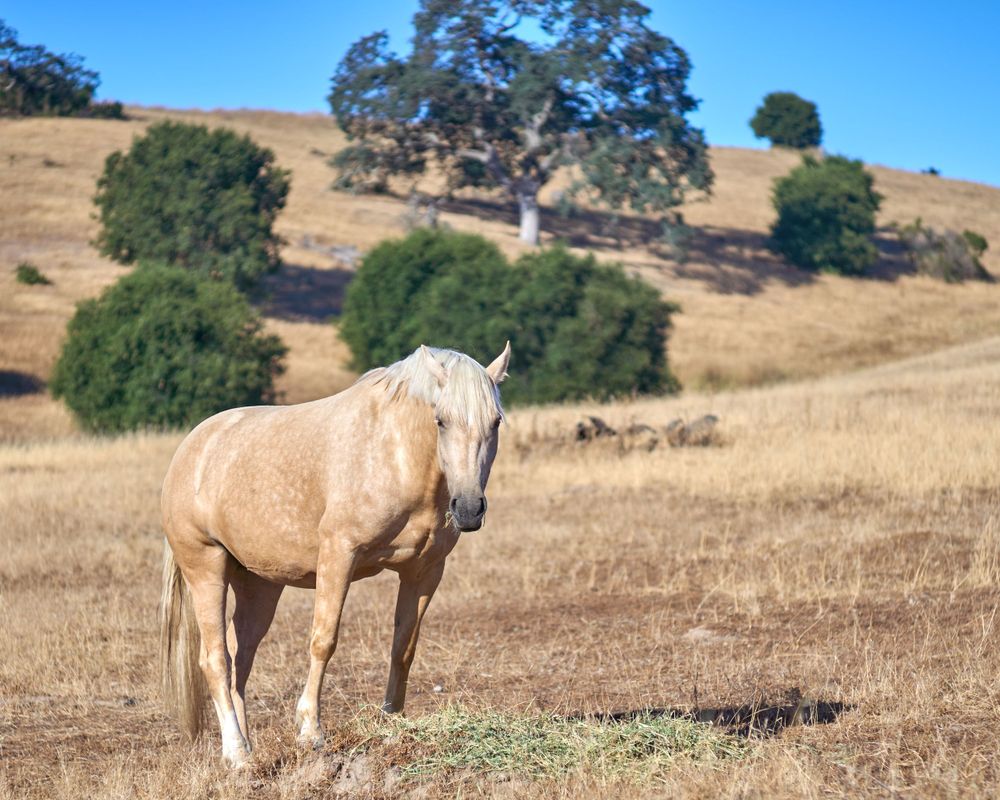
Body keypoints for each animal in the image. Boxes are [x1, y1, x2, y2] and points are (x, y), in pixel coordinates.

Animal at [159, 343, 510, 766]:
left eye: (495, 422)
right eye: (440, 420)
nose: (469, 509)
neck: (395, 453)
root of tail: (189, 450)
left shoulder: (424, 571)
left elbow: (403, 647)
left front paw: (391, 723)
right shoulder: (338, 556)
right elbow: (323, 640)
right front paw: (310, 731)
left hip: (259, 585)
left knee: (238, 657)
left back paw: (246, 746)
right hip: (206, 569)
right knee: (214, 659)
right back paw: (237, 753)